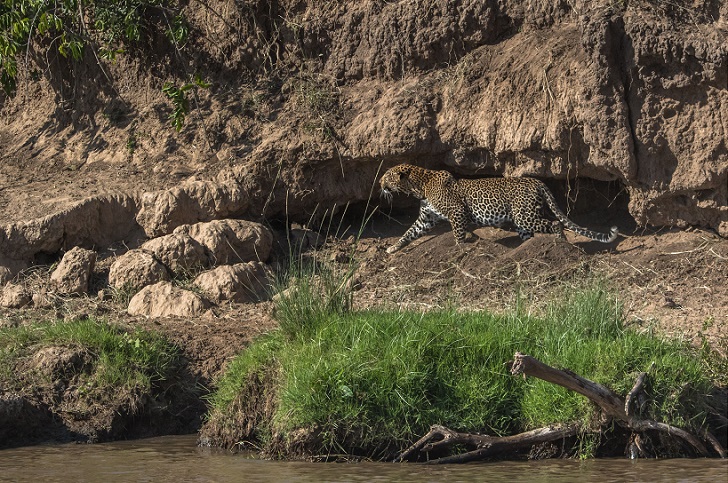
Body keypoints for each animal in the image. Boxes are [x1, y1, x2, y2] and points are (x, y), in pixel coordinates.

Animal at [378, 164, 616, 255]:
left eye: (387, 176)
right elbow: (409, 233)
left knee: (556, 223)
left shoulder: (457, 211)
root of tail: (537, 181)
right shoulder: (426, 219)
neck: (420, 186)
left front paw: (459, 249)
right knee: (531, 235)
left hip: (525, 216)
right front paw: (393, 248)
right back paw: (523, 252)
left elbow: (458, 234)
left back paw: (560, 244)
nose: (380, 183)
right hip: (523, 221)